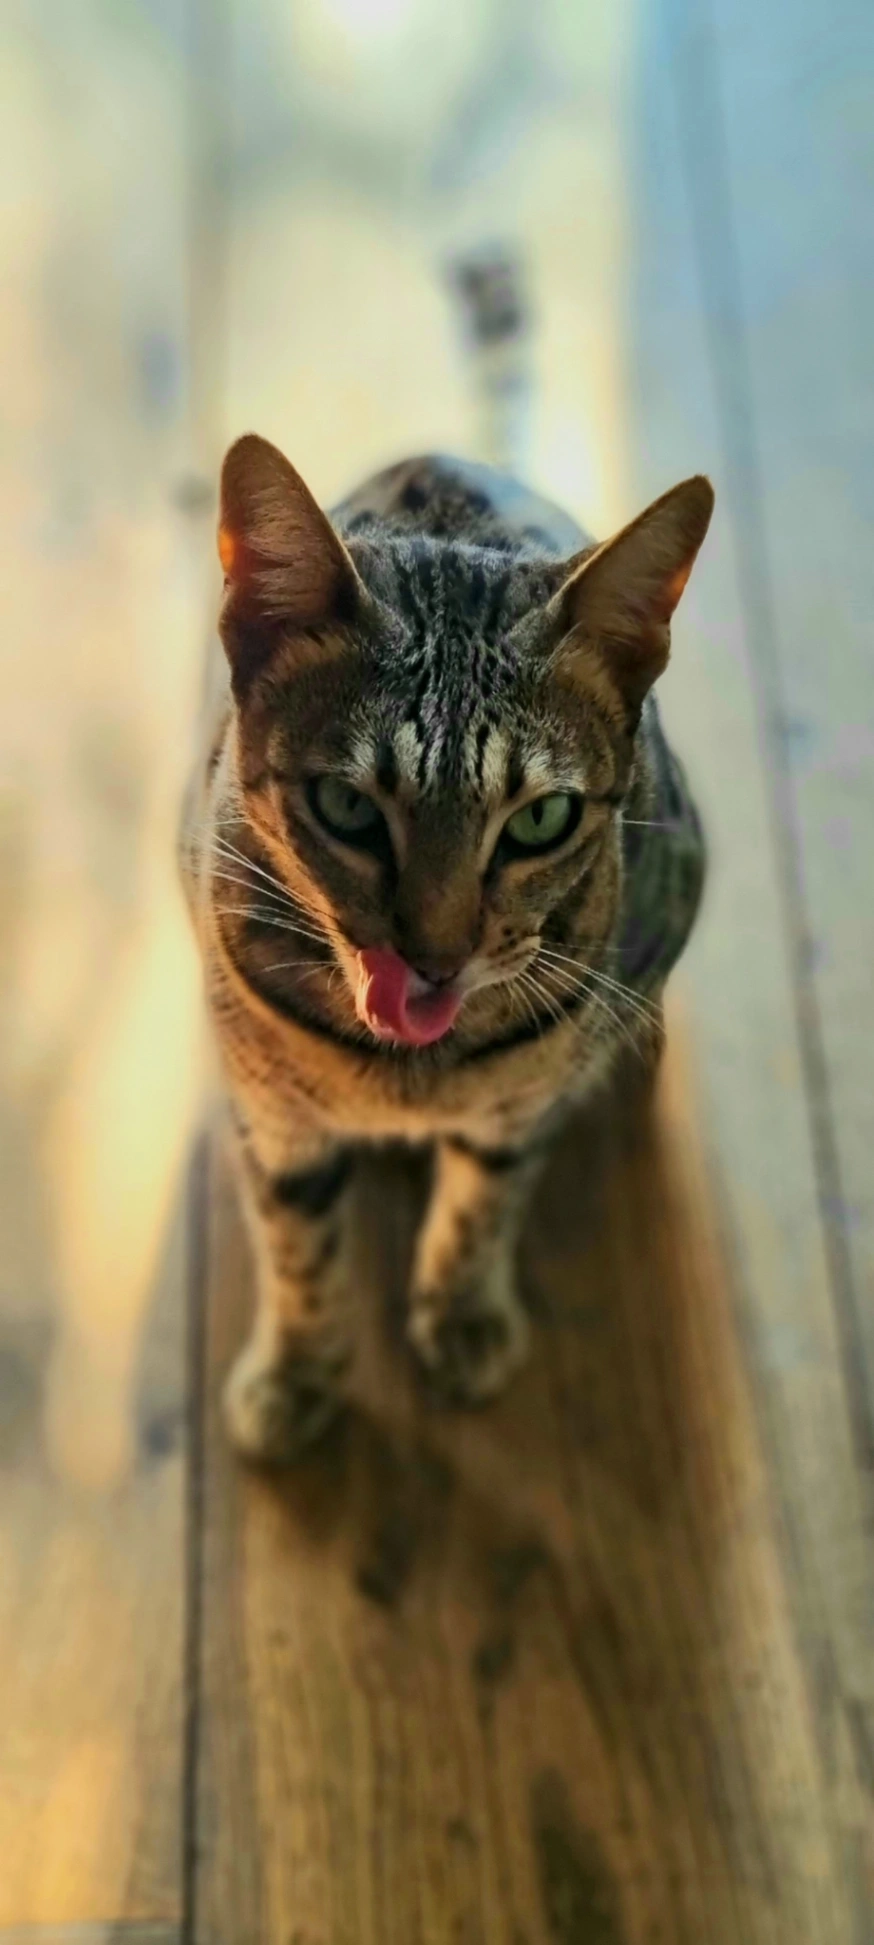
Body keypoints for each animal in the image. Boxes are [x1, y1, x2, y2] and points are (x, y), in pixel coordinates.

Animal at [180, 434, 713, 1462]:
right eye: (346, 806)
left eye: (541, 818)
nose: (437, 955)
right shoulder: (272, 1115)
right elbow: (296, 1244)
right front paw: (299, 1370)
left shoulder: (519, 1110)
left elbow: (482, 1205)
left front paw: (461, 1313)